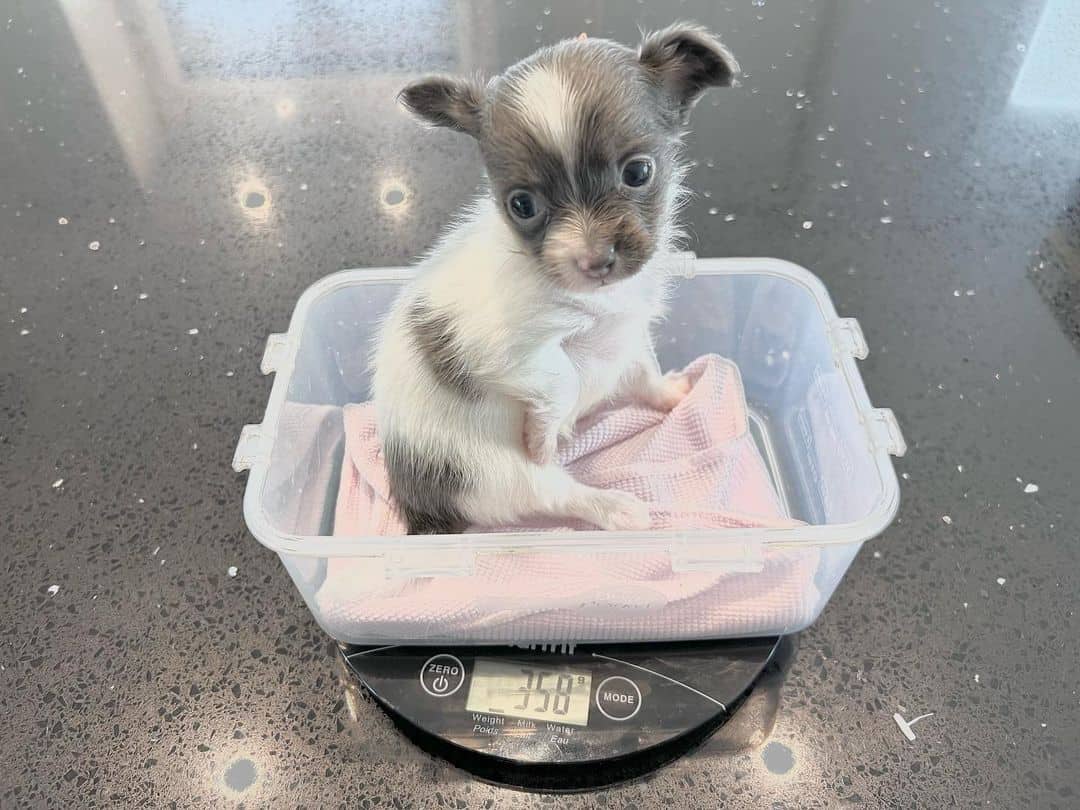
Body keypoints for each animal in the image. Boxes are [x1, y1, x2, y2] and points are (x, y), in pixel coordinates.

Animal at [371, 22, 734, 535]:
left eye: (638, 172)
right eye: (522, 205)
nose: (595, 260)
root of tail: (419, 505)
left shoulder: (629, 329)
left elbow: (643, 366)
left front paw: (669, 393)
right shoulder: (506, 352)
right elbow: (561, 377)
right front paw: (544, 435)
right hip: (493, 472)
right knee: (558, 492)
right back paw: (619, 508)